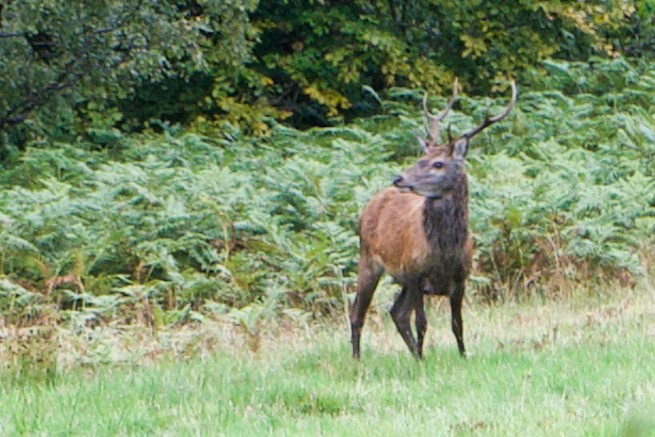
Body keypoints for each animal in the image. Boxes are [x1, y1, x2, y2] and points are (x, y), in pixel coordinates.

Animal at [350, 80, 517, 359]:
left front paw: (463, 356)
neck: (444, 250)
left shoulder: (460, 278)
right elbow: (422, 322)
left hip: (401, 279)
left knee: (396, 313)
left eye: (438, 164)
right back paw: (358, 358)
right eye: (421, 159)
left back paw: (415, 356)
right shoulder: (416, 273)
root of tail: (369, 205)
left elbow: (457, 324)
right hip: (369, 259)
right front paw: (426, 358)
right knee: (357, 312)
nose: (399, 178)